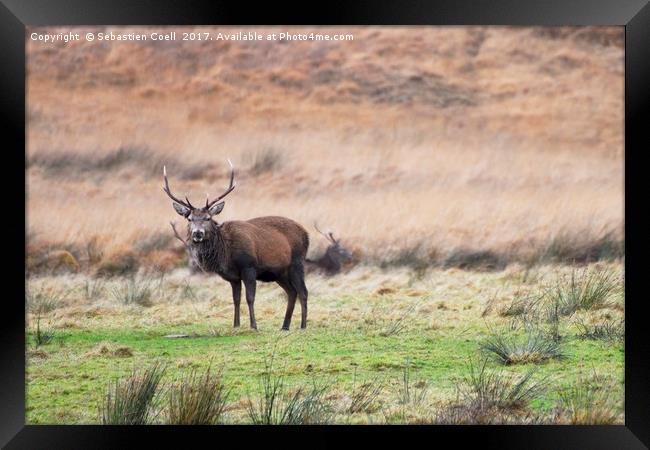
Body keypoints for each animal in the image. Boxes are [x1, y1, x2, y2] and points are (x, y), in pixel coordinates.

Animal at [166, 160, 310, 328]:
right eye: (189, 219)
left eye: (208, 218)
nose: (198, 233)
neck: (225, 255)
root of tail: (306, 233)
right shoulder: (233, 277)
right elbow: (236, 300)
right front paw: (236, 325)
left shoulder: (249, 267)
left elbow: (250, 298)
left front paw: (254, 326)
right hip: (279, 272)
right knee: (292, 292)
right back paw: (285, 326)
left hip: (296, 262)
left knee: (303, 292)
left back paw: (303, 326)